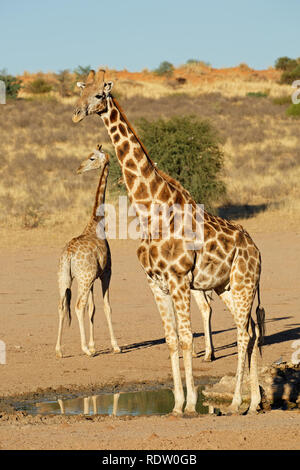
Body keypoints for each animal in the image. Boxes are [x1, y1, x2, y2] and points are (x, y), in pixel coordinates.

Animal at [55, 145, 120, 358]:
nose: (79, 169)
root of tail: (68, 255)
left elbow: (93, 308)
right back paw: (84, 349)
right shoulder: (106, 273)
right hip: (82, 279)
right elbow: (106, 306)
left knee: (62, 306)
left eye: (92, 158)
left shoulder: (92, 278)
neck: (97, 222)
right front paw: (114, 346)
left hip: (64, 278)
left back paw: (59, 350)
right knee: (77, 306)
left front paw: (93, 345)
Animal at [72, 70, 264, 414]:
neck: (151, 210)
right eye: (80, 91)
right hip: (227, 287)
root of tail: (257, 250)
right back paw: (254, 402)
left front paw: (191, 404)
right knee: (253, 330)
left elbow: (187, 338)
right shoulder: (155, 283)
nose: (77, 113)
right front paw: (176, 404)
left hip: (244, 283)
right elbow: (172, 338)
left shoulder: (178, 279)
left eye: (98, 95)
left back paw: (235, 402)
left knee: (244, 333)